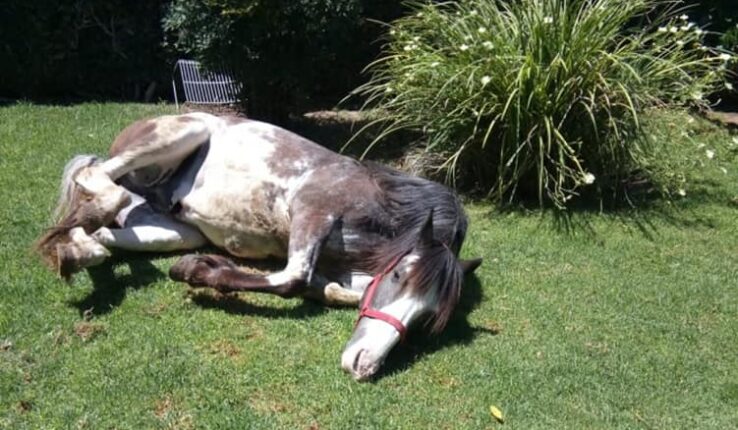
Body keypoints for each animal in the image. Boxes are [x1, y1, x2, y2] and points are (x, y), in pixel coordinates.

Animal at [35, 112, 482, 381]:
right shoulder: (311, 210)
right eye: (400, 274)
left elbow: (337, 291)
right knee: (96, 179)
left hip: (174, 230)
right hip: (182, 133)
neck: (381, 208)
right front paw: (198, 272)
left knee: (102, 232)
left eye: (427, 316)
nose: (363, 365)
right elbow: (293, 278)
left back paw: (76, 249)